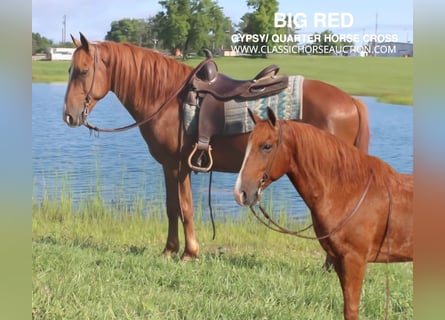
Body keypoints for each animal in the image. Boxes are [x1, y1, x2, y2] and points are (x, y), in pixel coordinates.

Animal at [61, 33, 368, 260]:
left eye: (83, 71)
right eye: (70, 69)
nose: (69, 116)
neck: (166, 98)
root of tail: (352, 101)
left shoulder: (177, 165)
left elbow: (184, 207)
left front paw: (188, 253)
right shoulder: (172, 167)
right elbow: (171, 207)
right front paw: (169, 251)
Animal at [234, 107, 412, 320]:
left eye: (266, 146)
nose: (241, 192)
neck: (350, 192)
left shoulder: (354, 261)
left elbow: (351, 309)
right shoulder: (337, 260)